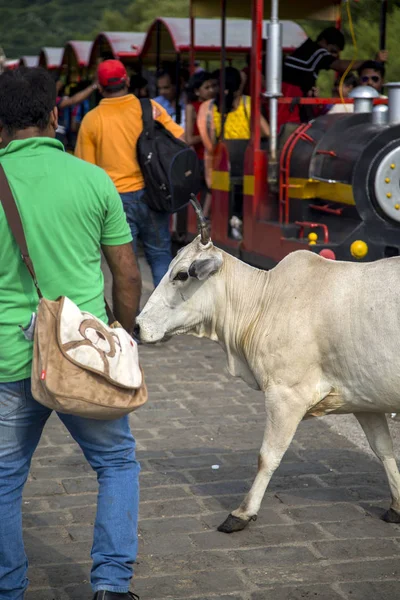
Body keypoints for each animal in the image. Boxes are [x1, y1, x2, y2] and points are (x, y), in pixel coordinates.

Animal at [138, 207, 400, 536]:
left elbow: (267, 456)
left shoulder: (286, 396)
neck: (265, 301)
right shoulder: (364, 398)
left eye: (182, 274)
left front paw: (242, 512)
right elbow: (384, 449)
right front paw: (397, 506)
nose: (137, 325)